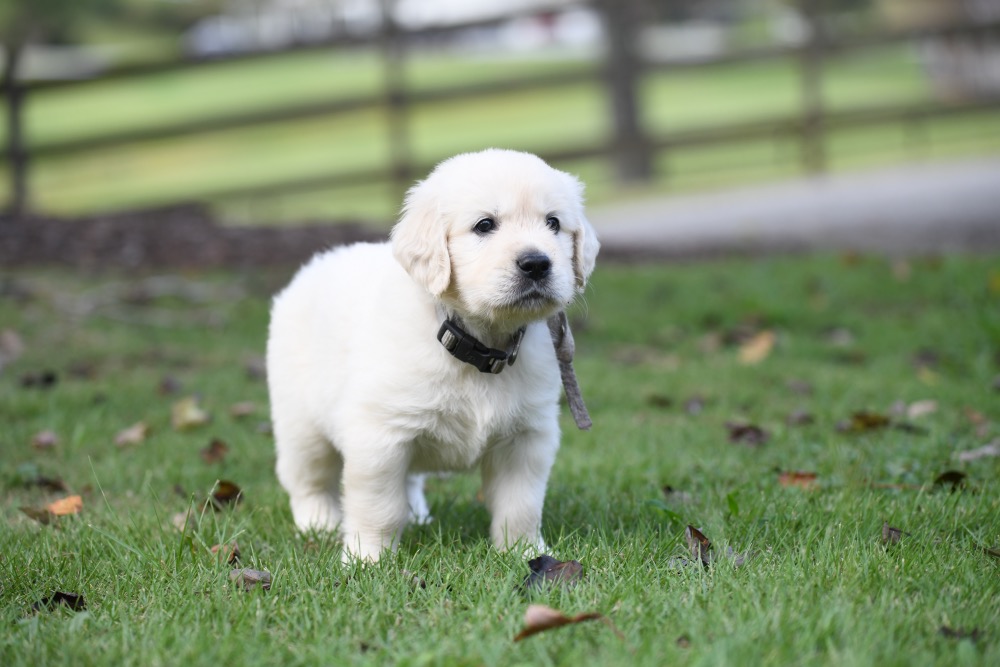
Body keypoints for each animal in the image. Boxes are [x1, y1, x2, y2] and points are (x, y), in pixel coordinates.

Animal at [262, 149, 596, 560]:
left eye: (553, 223)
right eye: (485, 225)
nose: (536, 263)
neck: (476, 343)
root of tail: (313, 267)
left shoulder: (526, 436)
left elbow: (521, 505)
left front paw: (523, 553)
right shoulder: (380, 434)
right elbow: (378, 506)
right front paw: (367, 559)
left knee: (410, 480)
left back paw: (417, 515)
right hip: (301, 426)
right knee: (308, 480)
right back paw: (319, 523)